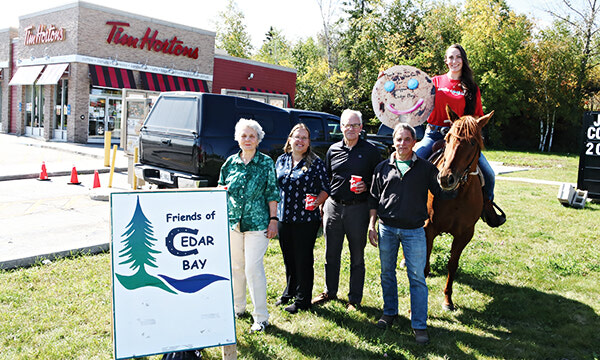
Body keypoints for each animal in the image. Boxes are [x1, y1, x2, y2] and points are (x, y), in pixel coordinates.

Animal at [422, 104, 492, 310]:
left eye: (473, 142)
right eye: (448, 138)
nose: (446, 178)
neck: (456, 196)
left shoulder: (465, 234)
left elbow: (452, 264)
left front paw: (448, 300)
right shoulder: (429, 226)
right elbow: (423, 262)